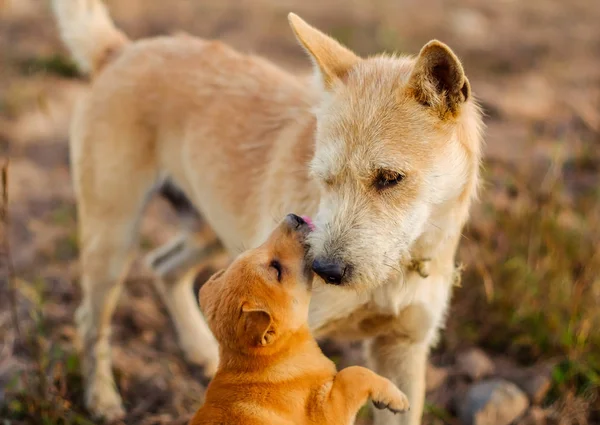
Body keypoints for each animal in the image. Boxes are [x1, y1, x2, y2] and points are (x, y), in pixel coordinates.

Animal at [190, 214, 410, 422]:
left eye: (251, 251)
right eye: (276, 269)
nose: (294, 218)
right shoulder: (328, 412)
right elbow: (354, 373)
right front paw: (396, 397)